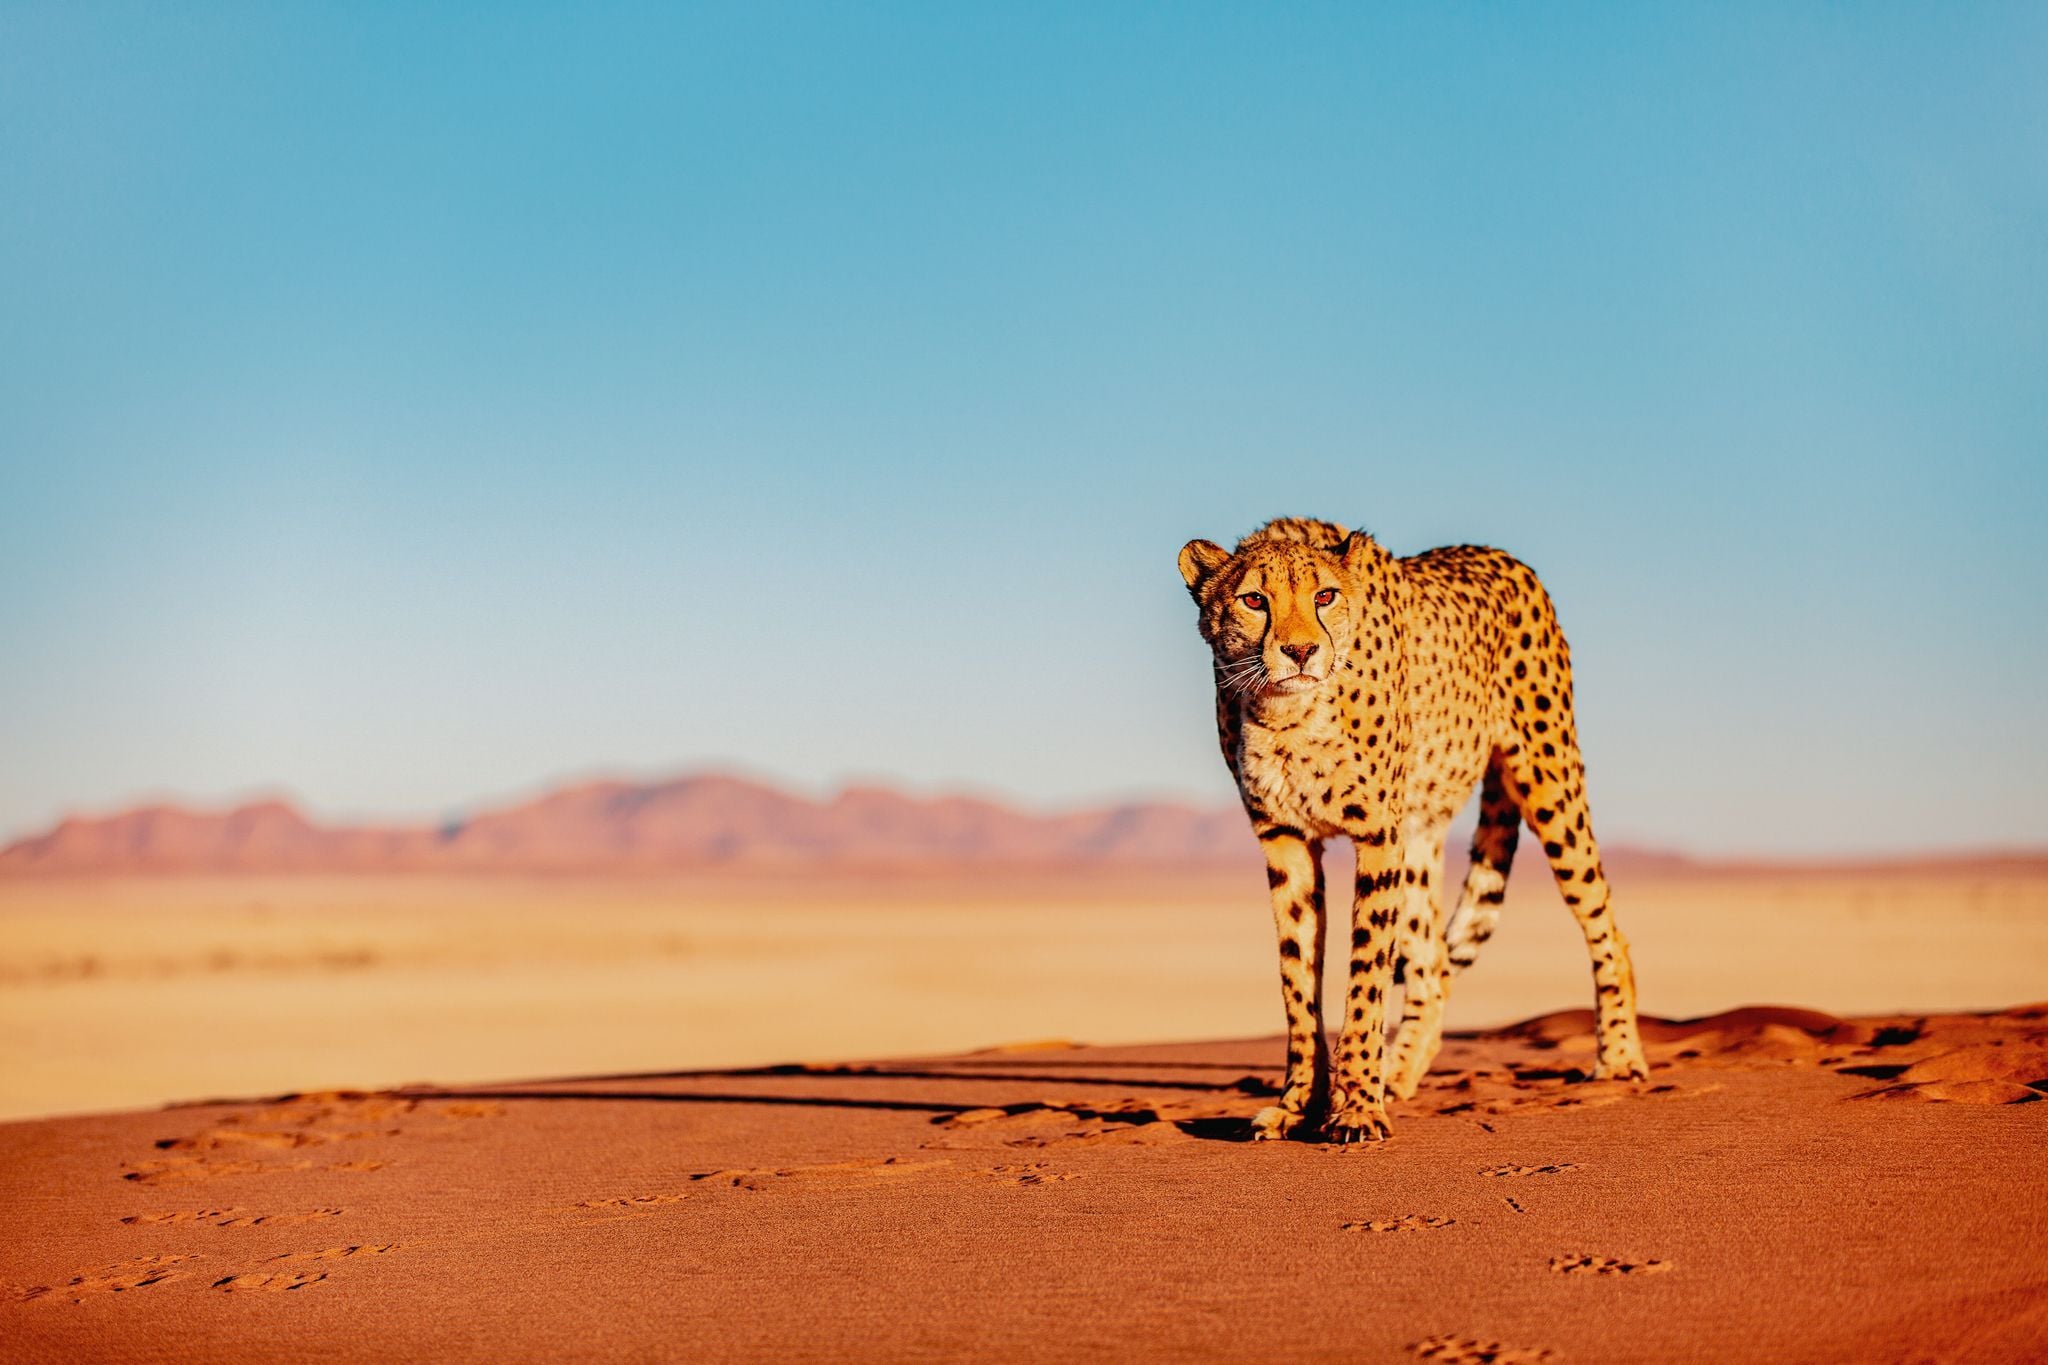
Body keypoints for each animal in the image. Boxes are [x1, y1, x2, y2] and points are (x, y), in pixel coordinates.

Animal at [1177, 515, 1648, 1143]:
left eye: (1324, 596)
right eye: (1254, 600)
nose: (1300, 650)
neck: (1287, 715)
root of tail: (1501, 555)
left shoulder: (1378, 836)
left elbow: (1366, 976)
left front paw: (1355, 1106)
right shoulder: (1287, 842)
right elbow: (1297, 982)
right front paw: (1300, 1104)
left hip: (1551, 784)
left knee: (1605, 926)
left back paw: (1618, 1057)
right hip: (1422, 835)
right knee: (1433, 964)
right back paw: (1399, 1074)